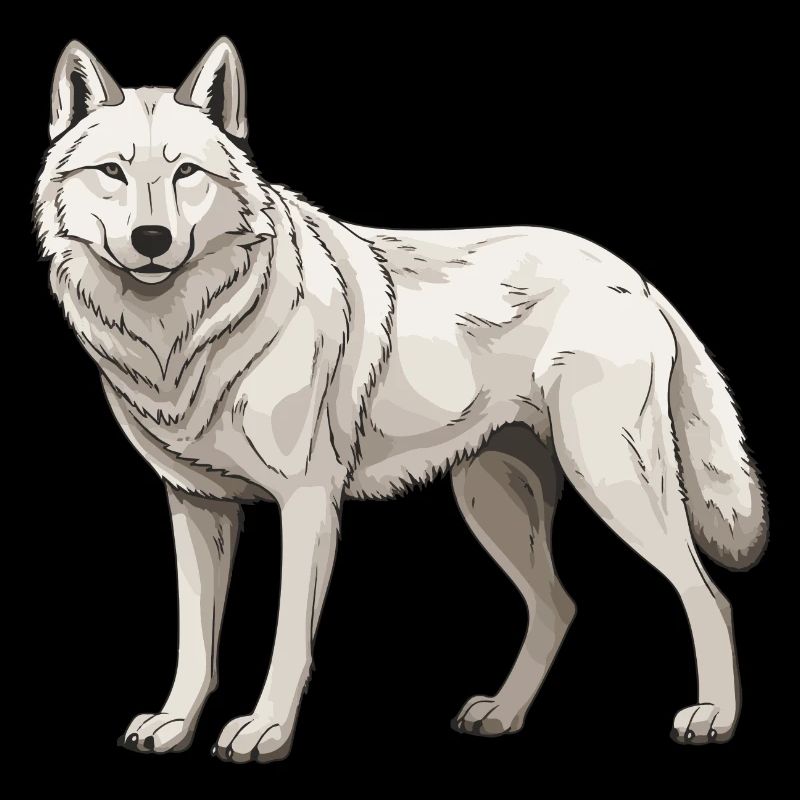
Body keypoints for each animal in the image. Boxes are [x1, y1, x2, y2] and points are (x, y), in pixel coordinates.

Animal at [35, 37, 767, 762]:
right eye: (112, 172)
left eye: (186, 173)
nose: (151, 241)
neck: (183, 338)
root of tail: (635, 276)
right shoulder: (195, 504)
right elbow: (194, 641)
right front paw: (174, 724)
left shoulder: (306, 504)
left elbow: (287, 636)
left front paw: (265, 731)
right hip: (492, 500)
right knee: (559, 605)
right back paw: (502, 715)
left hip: (613, 482)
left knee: (708, 597)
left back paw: (713, 718)